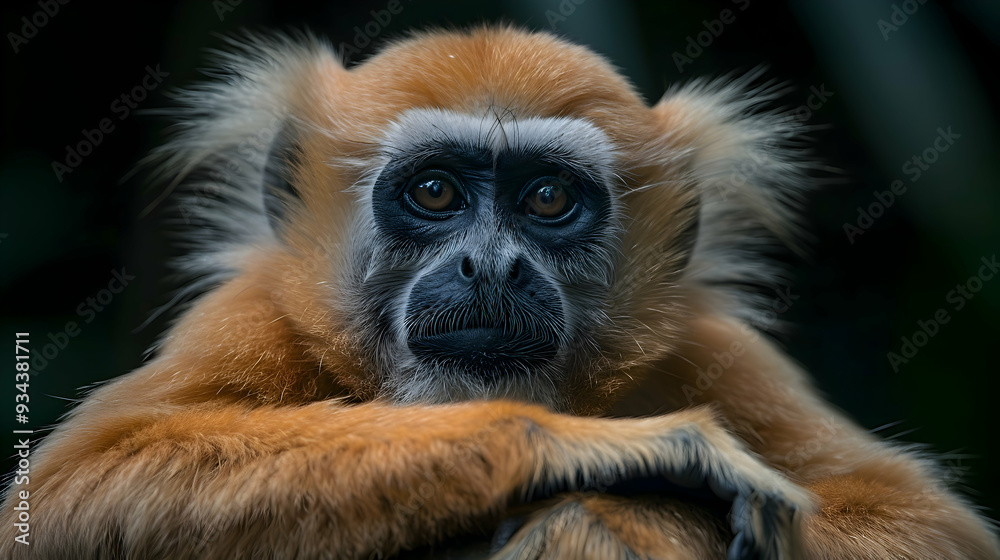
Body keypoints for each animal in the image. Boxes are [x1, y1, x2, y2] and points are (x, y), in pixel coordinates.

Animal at [2, 26, 998, 559]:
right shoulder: (254, 318)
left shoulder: (710, 349)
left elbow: (921, 525)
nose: (492, 266)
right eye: (436, 193)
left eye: (548, 199)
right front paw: (607, 452)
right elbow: (68, 496)